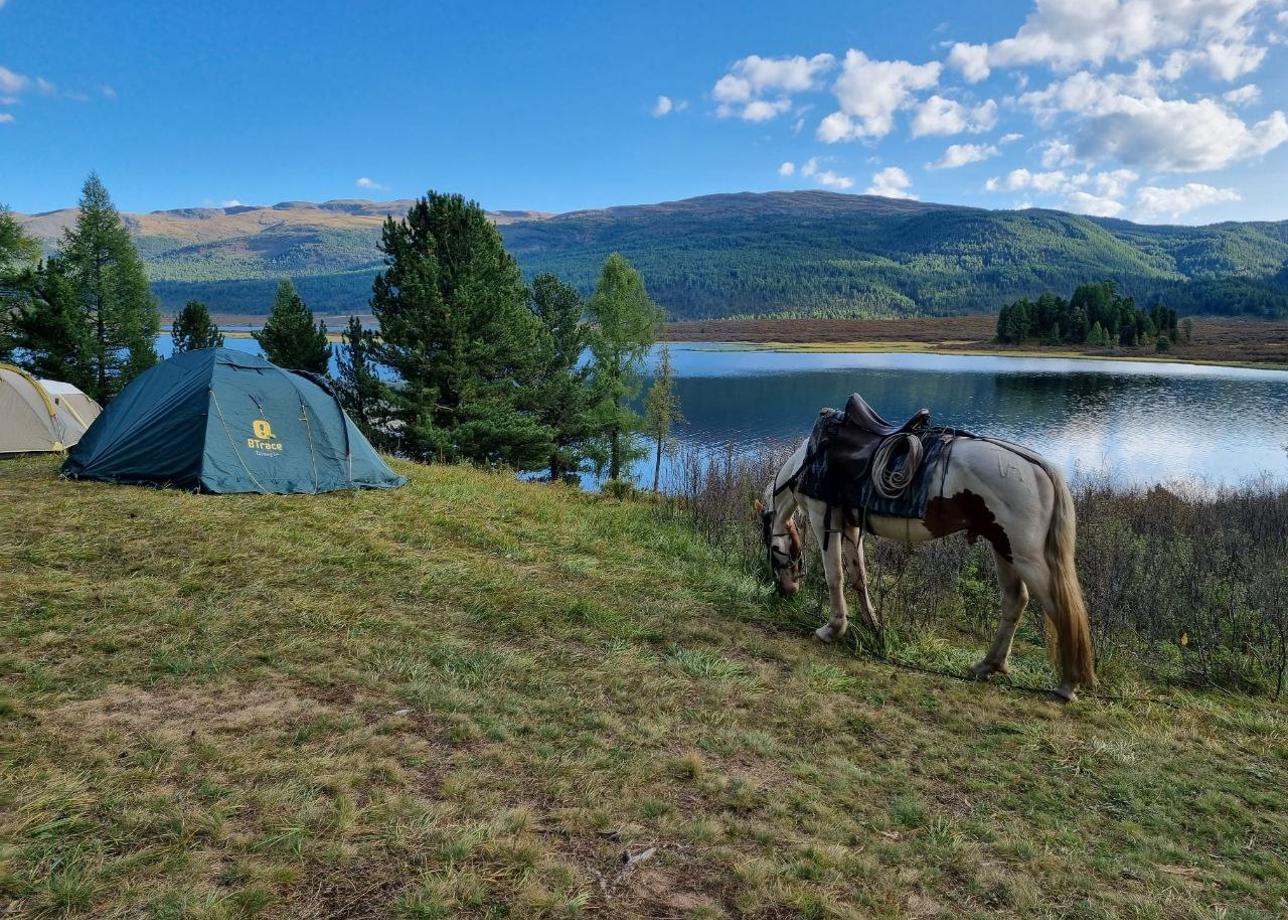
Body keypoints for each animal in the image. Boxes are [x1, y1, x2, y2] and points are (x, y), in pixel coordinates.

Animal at [752, 396, 1097, 700]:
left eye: (772, 549)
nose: (787, 591)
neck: (809, 461)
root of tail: (1040, 467)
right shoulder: (851, 524)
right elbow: (858, 577)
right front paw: (873, 626)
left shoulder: (823, 516)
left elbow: (834, 576)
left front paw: (833, 629)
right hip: (1004, 547)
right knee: (1015, 601)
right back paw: (988, 665)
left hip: (1027, 557)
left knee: (1060, 610)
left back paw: (1068, 684)